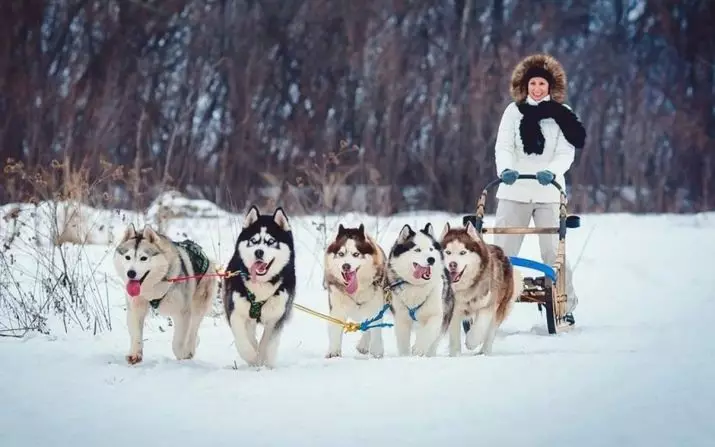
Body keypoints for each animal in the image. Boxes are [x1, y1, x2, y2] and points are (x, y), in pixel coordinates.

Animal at [113, 226, 220, 366]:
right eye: (127, 257)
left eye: (143, 258)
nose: (131, 273)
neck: (153, 288)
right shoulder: (136, 307)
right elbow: (136, 334)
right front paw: (135, 354)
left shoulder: (182, 313)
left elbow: (178, 342)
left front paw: (183, 355)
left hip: (198, 304)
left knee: (193, 328)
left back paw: (190, 347)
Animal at [221, 206, 294, 368]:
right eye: (253, 241)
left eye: (271, 241)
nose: (258, 252)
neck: (260, 284)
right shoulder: (236, 312)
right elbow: (243, 341)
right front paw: (252, 358)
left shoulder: (276, 317)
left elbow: (268, 343)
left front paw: (266, 363)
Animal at [324, 224, 388, 360]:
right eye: (341, 253)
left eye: (356, 254)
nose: (346, 266)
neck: (356, 291)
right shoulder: (337, 308)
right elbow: (335, 328)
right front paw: (333, 352)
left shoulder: (375, 306)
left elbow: (374, 328)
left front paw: (376, 351)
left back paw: (363, 345)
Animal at [386, 224, 454, 356]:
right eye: (417, 250)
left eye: (431, 249)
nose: (431, 259)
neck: (416, 286)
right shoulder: (401, 319)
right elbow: (403, 344)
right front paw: (405, 356)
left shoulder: (436, 315)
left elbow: (428, 333)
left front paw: (419, 348)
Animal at [440, 221, 524, 356]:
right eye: (447, 252)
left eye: (463, 252)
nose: (452, 264)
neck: (466, 287)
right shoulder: (454, 310)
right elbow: (454, 337)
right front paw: (455, 355)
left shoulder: (487, 307)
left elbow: (479, 329)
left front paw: (471, 342)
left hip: (500, 308)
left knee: (490, 331)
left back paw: (485, 351)